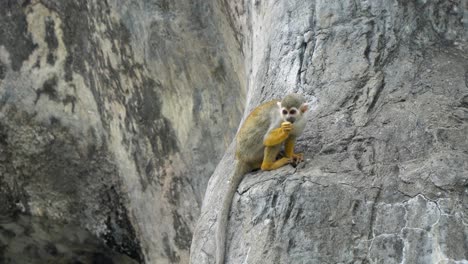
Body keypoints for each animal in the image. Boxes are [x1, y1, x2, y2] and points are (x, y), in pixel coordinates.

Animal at [215, 93, 308, 264]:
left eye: (292, 112)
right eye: (284, 112)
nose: (288, 118)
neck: (294, 121)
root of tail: (241, 157)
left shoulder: (302, 121)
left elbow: (292, 137)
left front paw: (292, 154)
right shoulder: (279, 120)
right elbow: (268, 139)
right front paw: (284, 131)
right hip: (251, 149)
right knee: (268, 141)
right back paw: (268, 165)